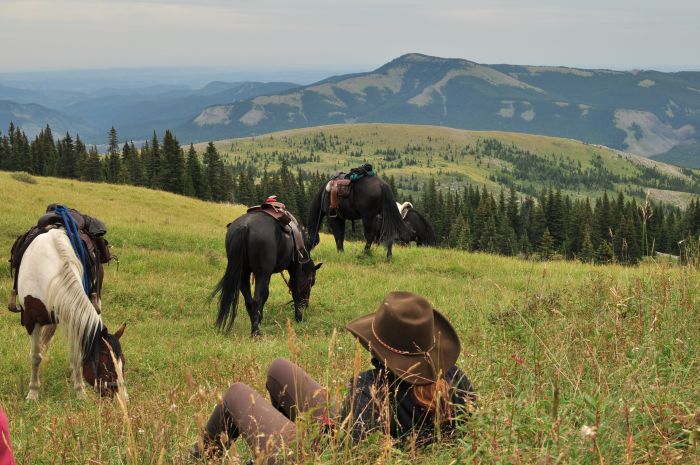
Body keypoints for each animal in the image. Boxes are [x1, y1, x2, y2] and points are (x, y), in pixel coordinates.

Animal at [17, 228, 126, 398]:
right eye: (105, 362)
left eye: (123, 362)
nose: (123, 397)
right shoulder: (31, 320)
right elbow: (35, 356)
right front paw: (33, 392)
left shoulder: (72, 318)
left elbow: (76, 356)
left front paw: (80, 391)